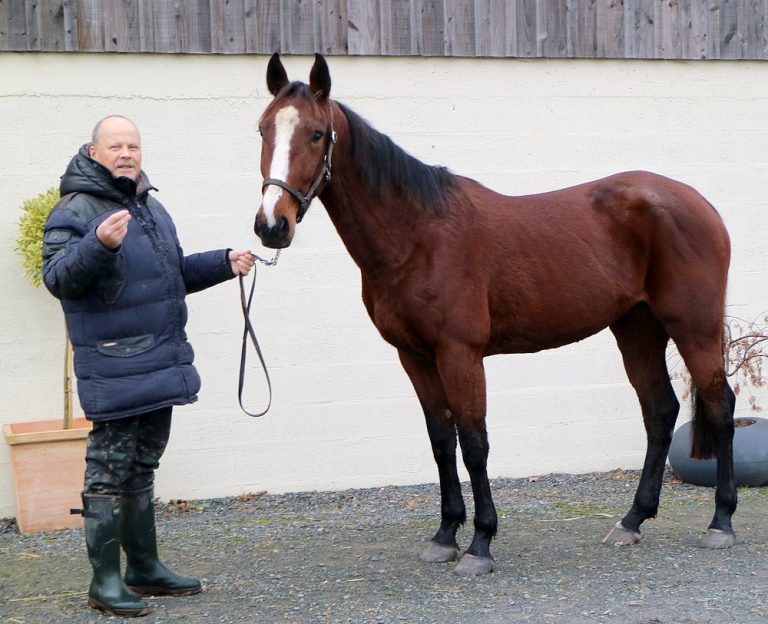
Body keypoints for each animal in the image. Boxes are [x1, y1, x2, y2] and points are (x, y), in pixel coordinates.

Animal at [253, 53, 736, 576]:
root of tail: (701, 204)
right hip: (637, 328)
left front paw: (480, 543)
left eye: (317, 133)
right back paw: (632, 521)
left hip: (694, 328)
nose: (272, 225)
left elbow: (474, 443)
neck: (417, 236)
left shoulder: (460, 353)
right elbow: (441, 441)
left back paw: (721, 523)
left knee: (720, 407)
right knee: (660, 410)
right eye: (262, 129)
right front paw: (445, 535)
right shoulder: (414, 357)